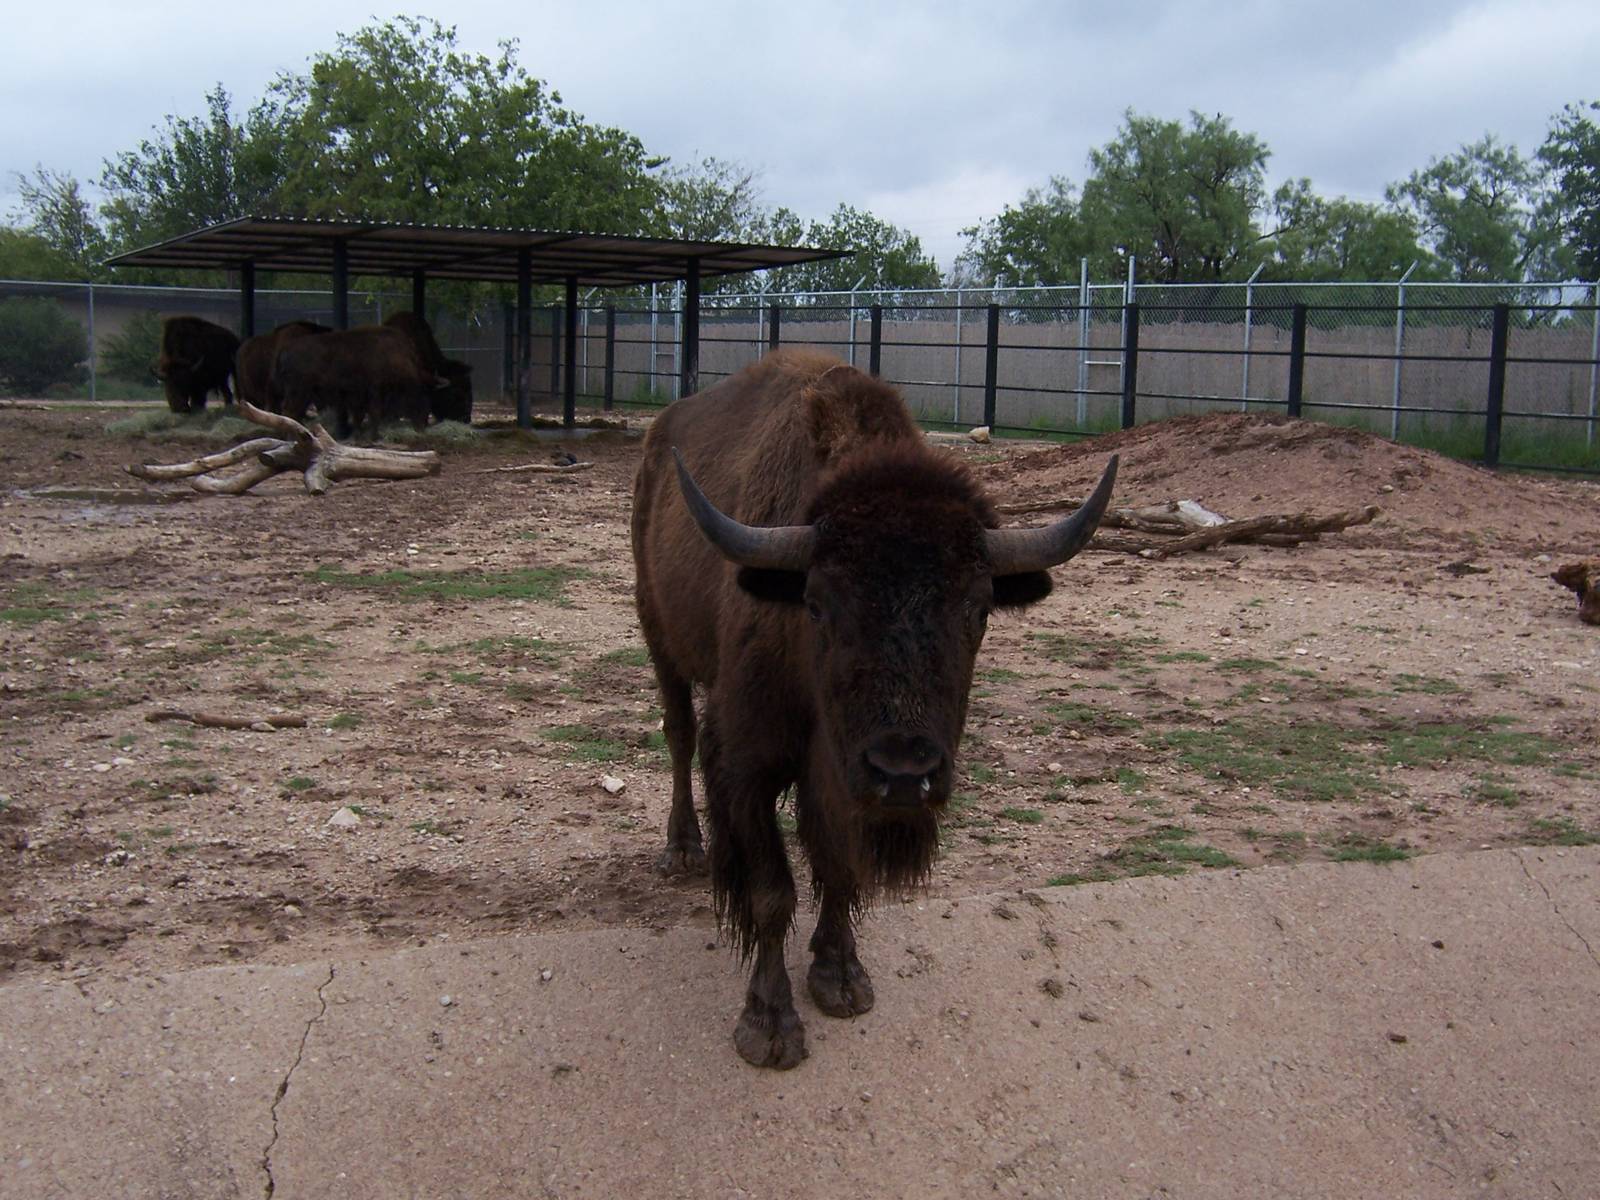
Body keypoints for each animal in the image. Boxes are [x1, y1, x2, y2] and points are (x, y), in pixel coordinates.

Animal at [631, 349, 1116, 1069]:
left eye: (979, 609)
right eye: (817, 603)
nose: (905, 772)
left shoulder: (837, 781)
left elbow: (838, 868)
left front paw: (841, 978)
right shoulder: (746, 765)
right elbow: (771, 891)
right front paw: (769, 1027)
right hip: (658, 637)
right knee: (678, 734)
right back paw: (684, 849)